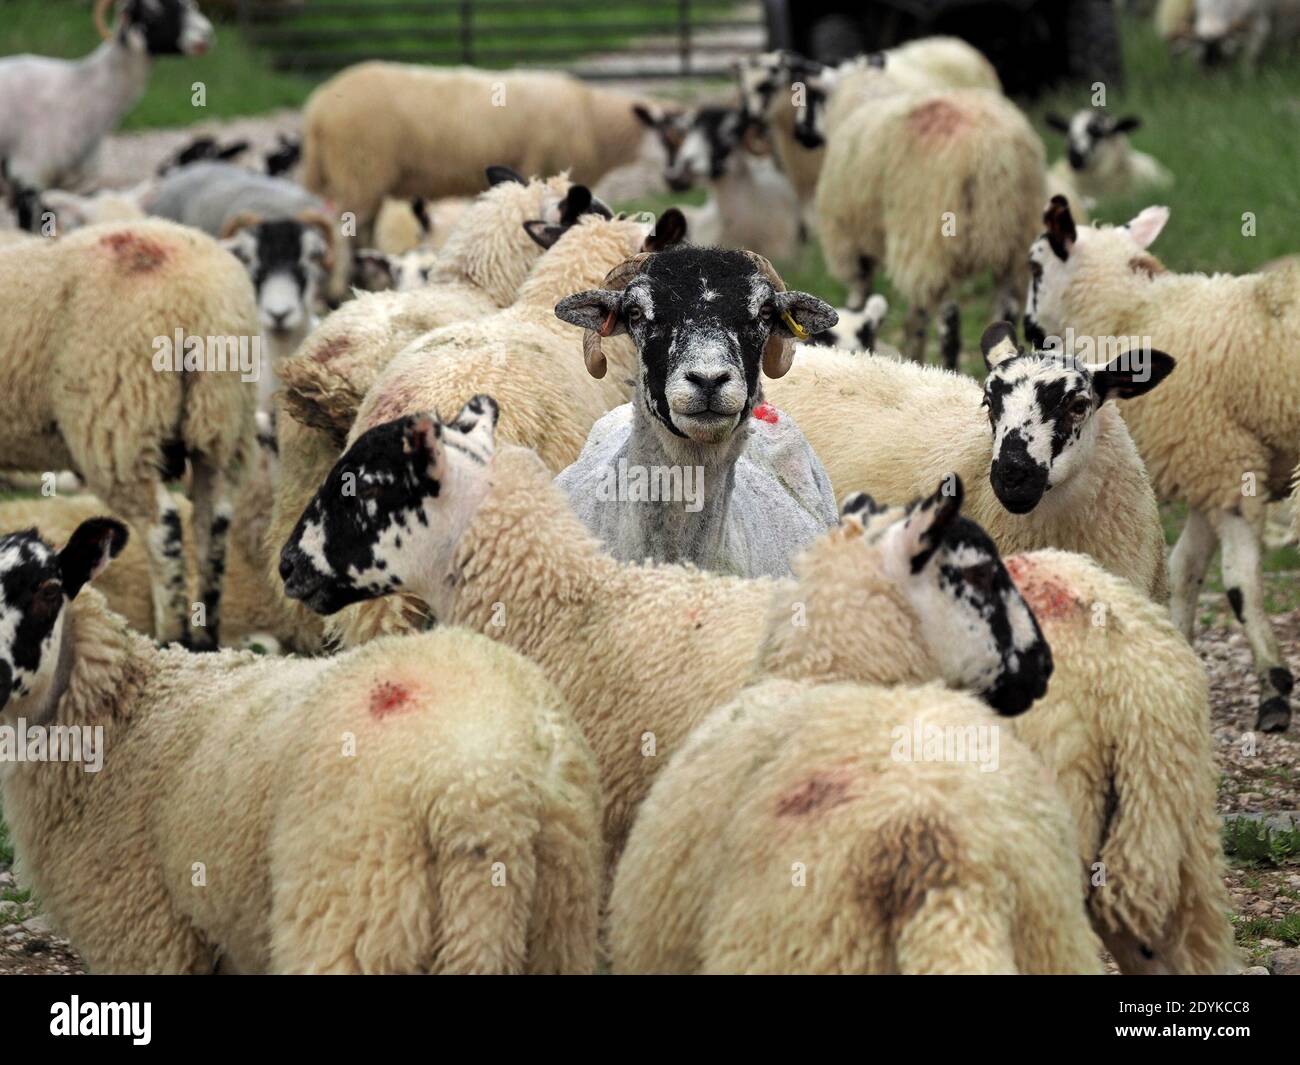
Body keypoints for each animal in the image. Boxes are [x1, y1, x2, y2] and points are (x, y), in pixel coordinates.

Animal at [0, 1, 212, 214]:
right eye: (151, 12)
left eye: (190, 5)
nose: (206, 35)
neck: (82, 92)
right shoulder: (28, 172)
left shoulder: (73, 183)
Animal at [0, 219, 257, 650]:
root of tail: (202, 300)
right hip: (222, 421)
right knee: (213, 525)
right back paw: (205, 636)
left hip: (119, 418)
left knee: (162, 527)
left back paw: (172, 635)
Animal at [0, 517, 602, 974]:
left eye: (48, 592)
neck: (124, 714)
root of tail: (488, 792)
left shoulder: (147, 935)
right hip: (557, 923)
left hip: (354, 913)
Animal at [1026, 196, 1299, 732]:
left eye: (1034, 266)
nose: (1025, 329)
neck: (1136, 311)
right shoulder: (1213, 463)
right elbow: (1185, 568)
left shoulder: (1224, 464)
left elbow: (1239, 583)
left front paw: (1274, 689)